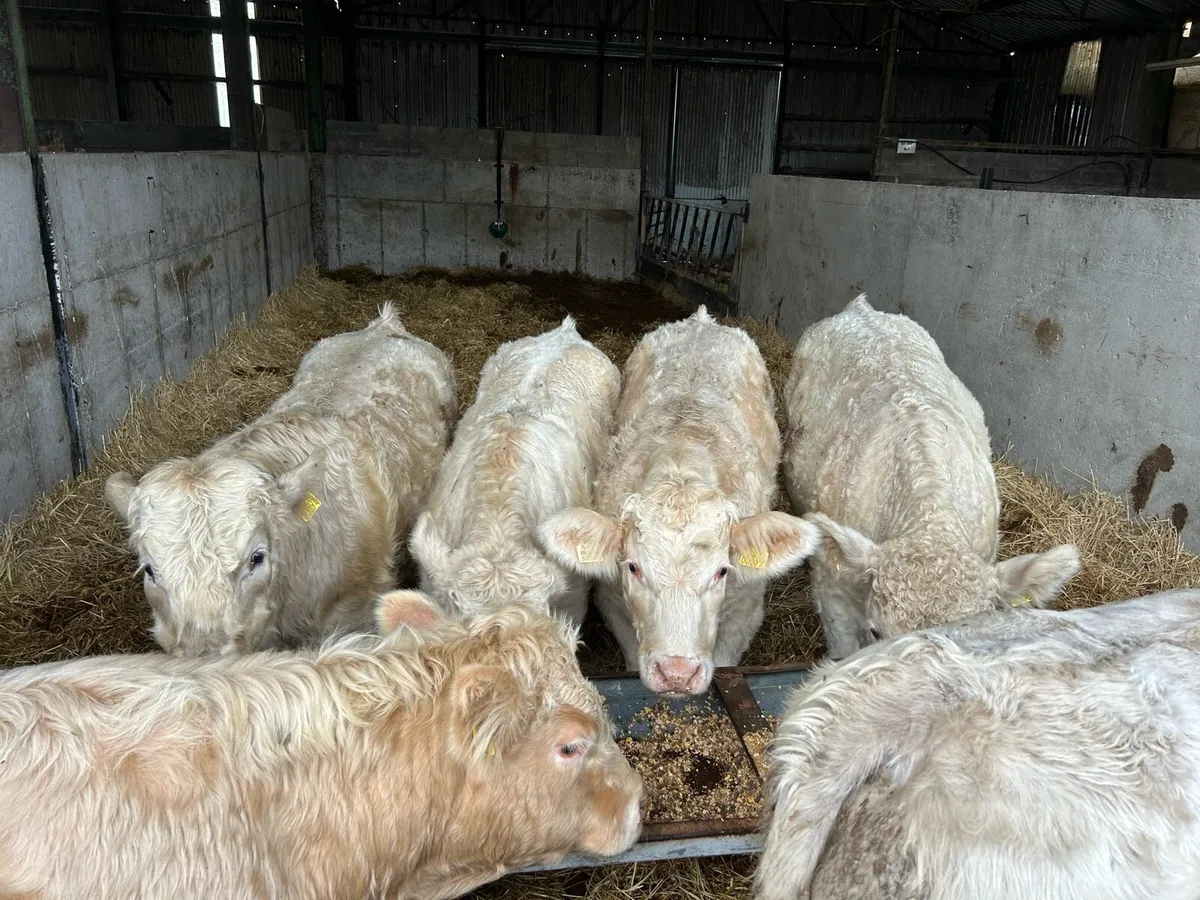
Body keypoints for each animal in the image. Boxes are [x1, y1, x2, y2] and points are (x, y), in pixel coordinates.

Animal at [540, 306, 820, 695]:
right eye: (633, 567)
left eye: (721, 571)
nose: (676, 672)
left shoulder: (744, 614)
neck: (681, 458)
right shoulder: (615, 606)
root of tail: (700, 320)